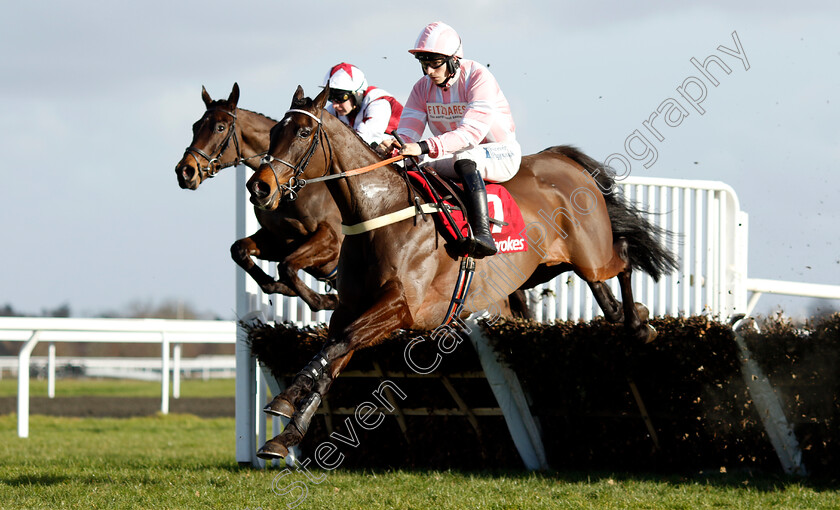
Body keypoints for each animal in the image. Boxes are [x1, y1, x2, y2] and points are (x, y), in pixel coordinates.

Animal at [174, 82, 344, 310]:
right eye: (195, 126)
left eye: (220, 127)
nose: (185, 171)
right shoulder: (278, 241)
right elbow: (240, 250)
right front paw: (281, 286)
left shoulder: (332, 238)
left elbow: (288, 266)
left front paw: (325, 299)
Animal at [243, 85, 676, 460]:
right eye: (273, 132)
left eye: (302, 132)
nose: (259, 187)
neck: (379, 212)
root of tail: (562, 160)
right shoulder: (353, 308)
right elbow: (332, 354)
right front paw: (286, 435)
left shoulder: (401, 308)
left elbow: (339, 344)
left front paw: (283, 401)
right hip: (543, 268)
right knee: (601, 287)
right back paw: (631, 317)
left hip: (589, 253)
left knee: (622, 257)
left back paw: (640, 325)